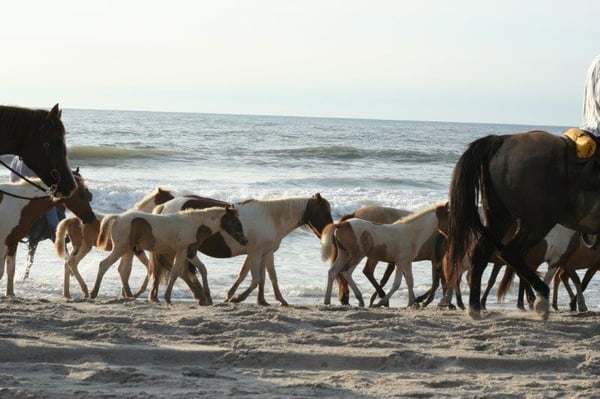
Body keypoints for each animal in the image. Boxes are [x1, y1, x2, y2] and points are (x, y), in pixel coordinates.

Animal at [89, 206, 248, 304]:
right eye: (236, 223)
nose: (245, 240)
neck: (195, 224)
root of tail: (117, 217)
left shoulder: (190, 253)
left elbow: (203, 269)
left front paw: (207, 298)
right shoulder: (182, 251)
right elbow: (175, 272)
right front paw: (167, 298)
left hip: (128, 250)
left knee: (123, 270)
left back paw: (130, 296)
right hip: (120, 248)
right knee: (104, 265)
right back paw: (93, 293)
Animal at [442, 131, 600, 322]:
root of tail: (502, 139)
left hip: (501, 217)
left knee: (481, 254)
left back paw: (475, 309)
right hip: (538, 221)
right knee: (511, 252)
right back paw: (542, 301)